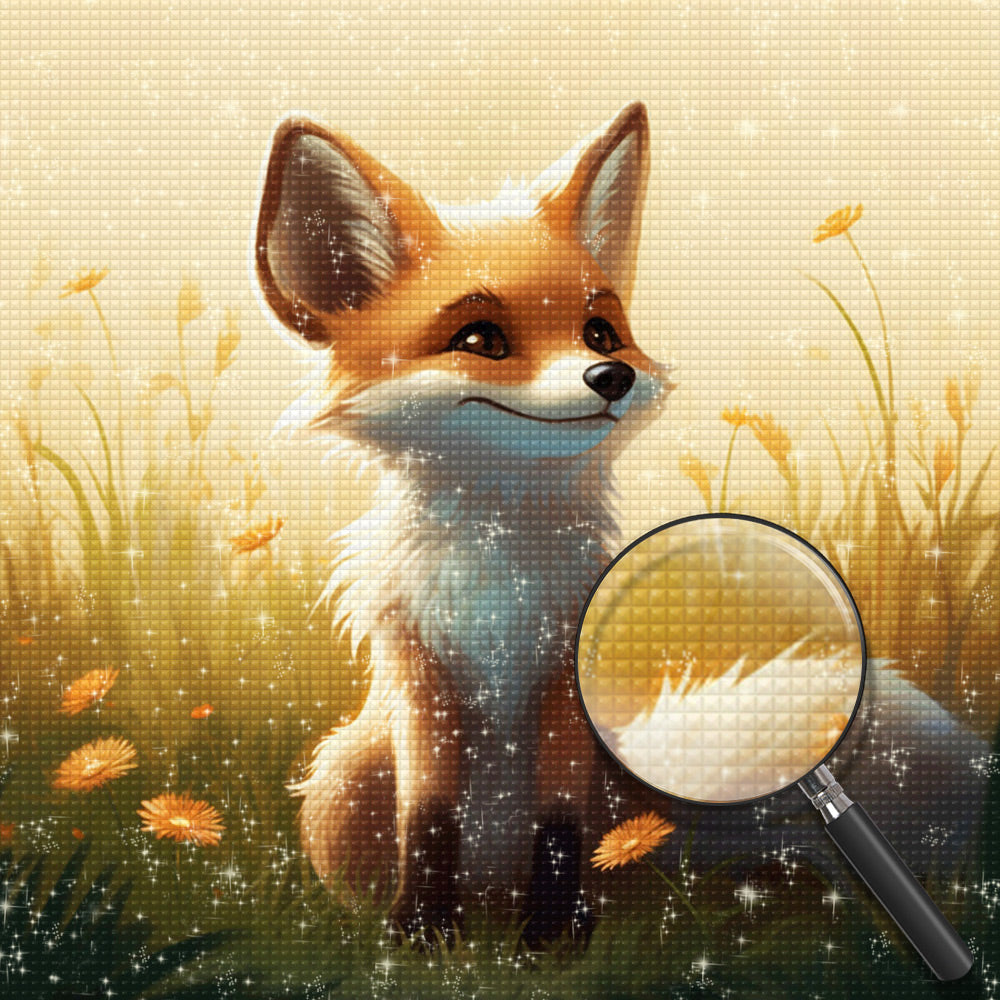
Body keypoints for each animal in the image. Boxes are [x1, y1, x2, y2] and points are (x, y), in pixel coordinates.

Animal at [252, 101, 671, 947]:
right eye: (480, 340)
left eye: (600, 332)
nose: (612, 376)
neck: (496, 580)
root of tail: (490, 889)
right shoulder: (423, 678)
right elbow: (429, 818)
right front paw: (421, 935)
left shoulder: (563, 682)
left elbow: (560, 823)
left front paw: (551, 938)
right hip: (344, 775)